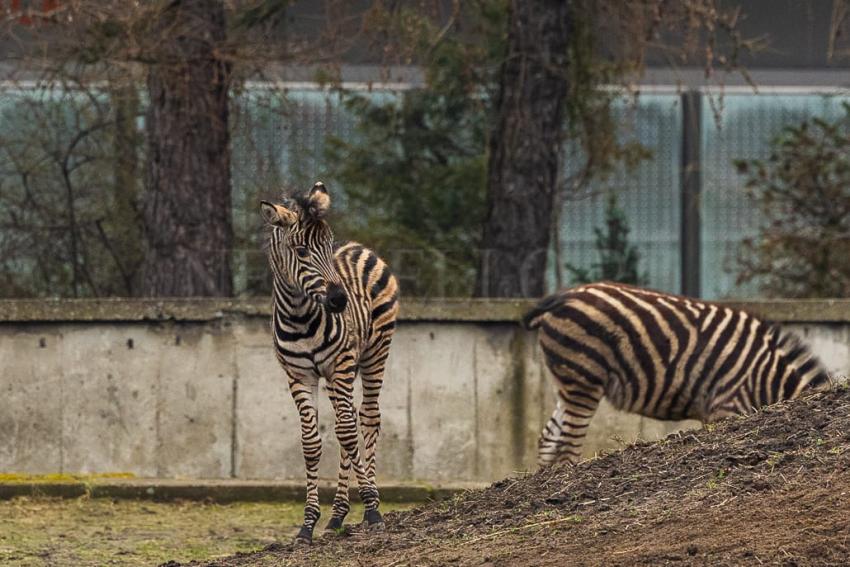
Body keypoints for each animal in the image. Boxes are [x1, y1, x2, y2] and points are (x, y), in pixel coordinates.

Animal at [260, 183, 400, 544]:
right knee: (345, 420)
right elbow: (312, 443)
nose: (339, 300)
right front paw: (308, 524)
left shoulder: (339, 365)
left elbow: (349, 434)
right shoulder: (299, 376)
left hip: (373, 352)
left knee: (366, 419)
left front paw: (373, 510)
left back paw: (364, 505)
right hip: (342, 374)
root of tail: (359, 247)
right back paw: (337, 515)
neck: (299, 315)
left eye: (327, 245)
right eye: (301, 250)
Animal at [524, 282, 828, 468]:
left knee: (547, 439)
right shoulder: (728, 406)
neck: (768, 378)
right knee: (567, 447)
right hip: (584, 378)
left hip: (570, 380)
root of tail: (561, 298)